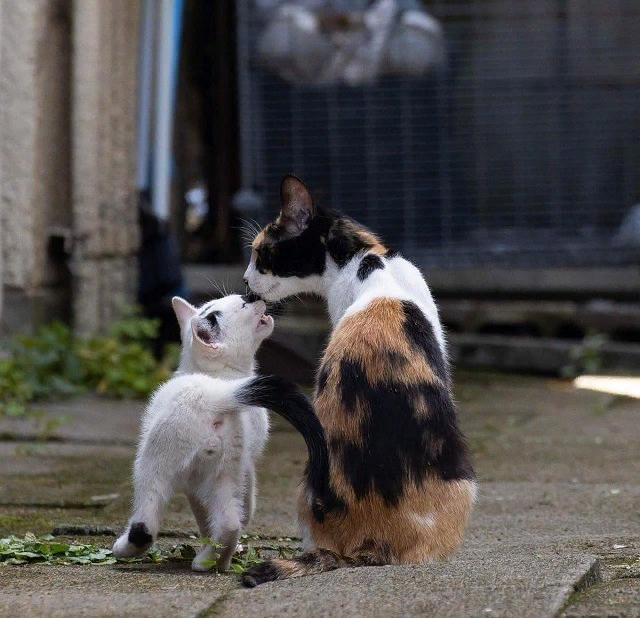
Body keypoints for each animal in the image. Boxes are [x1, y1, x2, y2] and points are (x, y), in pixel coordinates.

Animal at [112, 292, 276, 572]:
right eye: (243, 304)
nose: (250, 295)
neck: (220, 376)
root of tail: (213, 396)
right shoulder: (244, 464)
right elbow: (243, 505)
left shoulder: (214, 477)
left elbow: (219, 512)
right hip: (216, 469)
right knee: (227, 521)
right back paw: (212, 561)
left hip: (159, 464)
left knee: (148, 519)